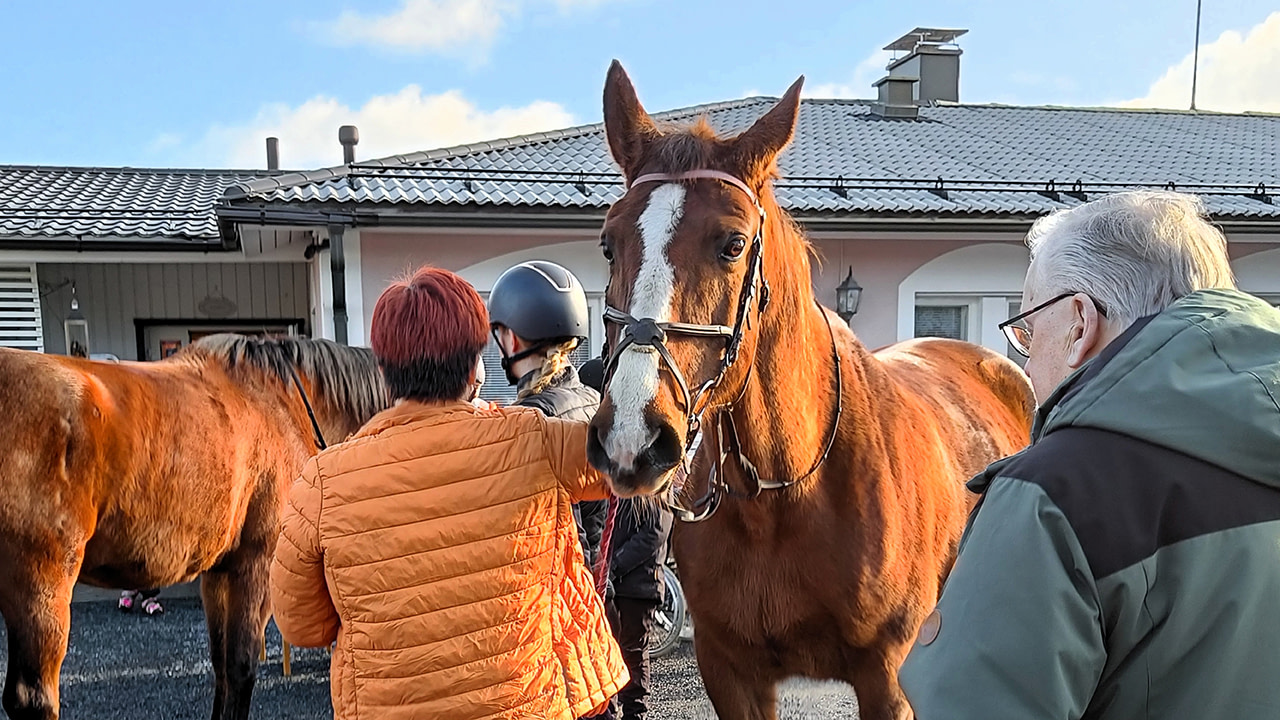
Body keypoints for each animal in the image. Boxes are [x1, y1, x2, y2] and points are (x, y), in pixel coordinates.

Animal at [1, 335, 389, 717]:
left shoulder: (218, 572)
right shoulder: (257, 565)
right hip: (42, 588)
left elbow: (221, 665)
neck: (282, 403)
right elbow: (241, 666)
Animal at [588, 61, 1039, 717]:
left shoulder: (888, 678)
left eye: (732, 243)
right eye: (609, 243)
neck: (784, 494)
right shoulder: (731, 672)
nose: (631, 437)